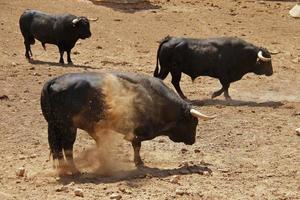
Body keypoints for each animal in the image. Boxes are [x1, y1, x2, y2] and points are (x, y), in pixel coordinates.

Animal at [40, 71, 216, 173]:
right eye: (193, 123)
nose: (193, 141)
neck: (154, 98)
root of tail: (54, 81)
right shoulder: (139, 130)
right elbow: (137, 144)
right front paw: (139, 162)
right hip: (68, 127)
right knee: (67, 146)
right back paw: (75, 170)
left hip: (55, 126)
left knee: (58, 148)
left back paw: (63, 169)